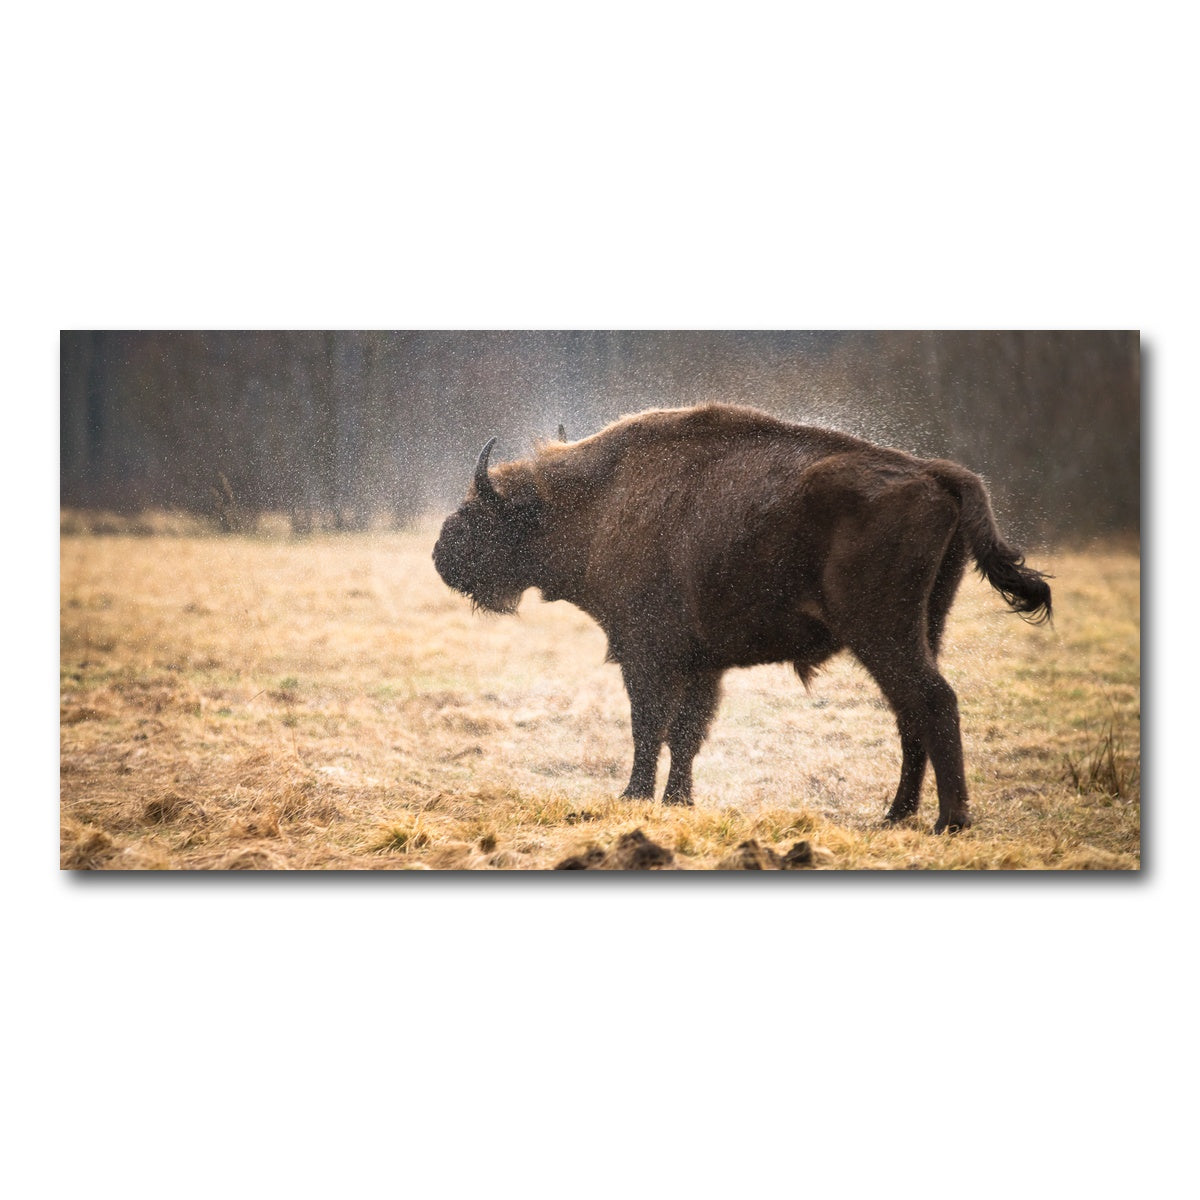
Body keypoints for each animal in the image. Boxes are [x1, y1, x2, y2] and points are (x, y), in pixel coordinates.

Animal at [432, 403, 1051, 832]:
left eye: (479, 511)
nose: (441, 553)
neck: (596, 499)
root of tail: (935, 473)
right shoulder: (702, 665)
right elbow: (686, 734)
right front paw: (678, 801)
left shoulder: (647, 654)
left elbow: (650, 727)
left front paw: (634, 798)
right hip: (926, 626)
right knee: (910, 713)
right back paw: (895, 816)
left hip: (881, 632)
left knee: (932, 701)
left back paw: (949, 821)